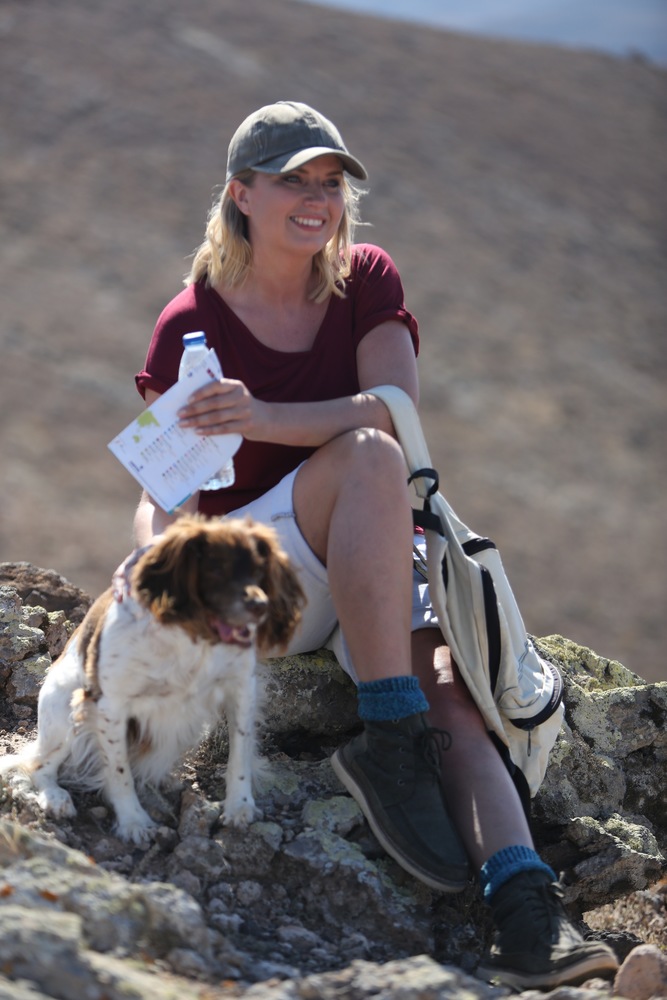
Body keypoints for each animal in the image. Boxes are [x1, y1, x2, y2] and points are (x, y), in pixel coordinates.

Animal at [0, 514, 305, 844]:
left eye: (259, 569)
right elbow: (119, 772)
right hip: (66, 713)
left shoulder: (242, 689)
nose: (260, 606)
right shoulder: (109, 705)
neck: (193, 634)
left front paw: (240, 806)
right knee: (39, 765)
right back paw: (56, 798)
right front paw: (133, 821)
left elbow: (240, 754)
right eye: (215, 567)